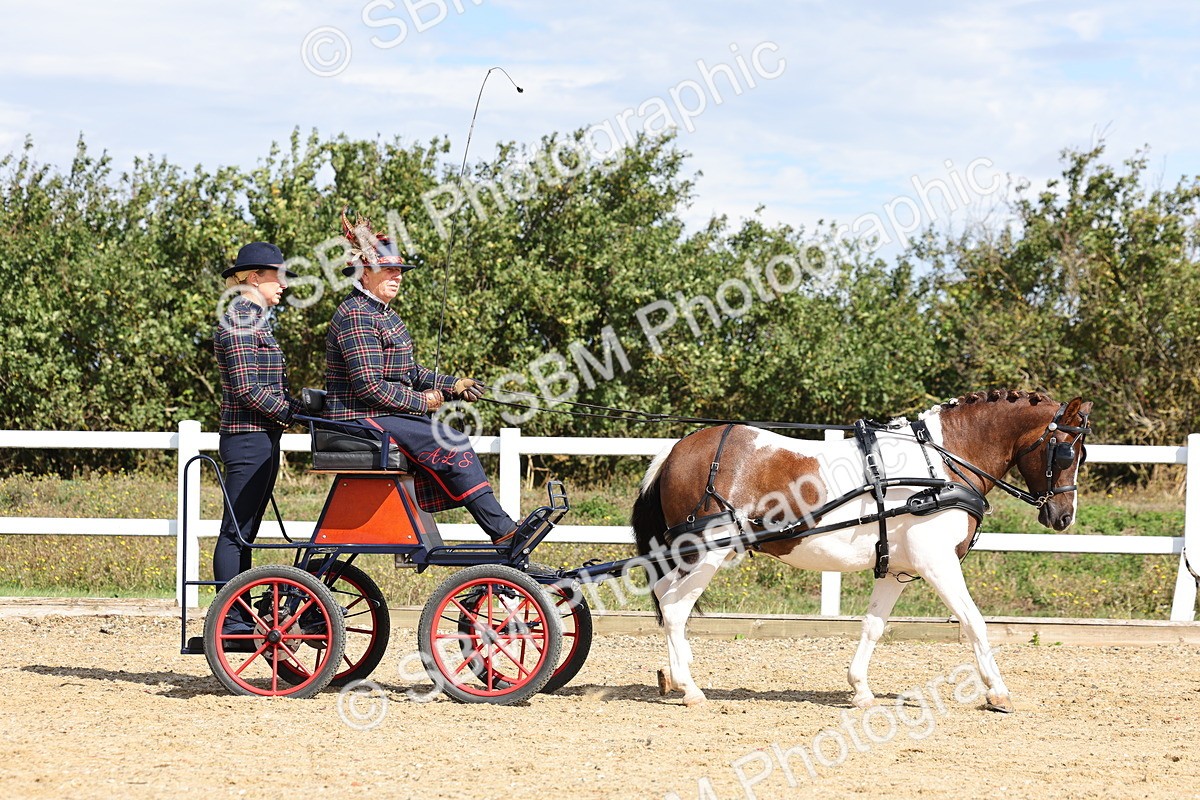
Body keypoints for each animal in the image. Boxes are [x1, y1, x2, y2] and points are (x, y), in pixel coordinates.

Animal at [630, 390, 1092, 712]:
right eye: (1066, 453)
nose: (1063, 516)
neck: (941, 465)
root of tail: (676, 449)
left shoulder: (896, 571)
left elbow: (873, 627)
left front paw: (861, 689)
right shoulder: (938, 564)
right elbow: (975, 623)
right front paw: (998, 693)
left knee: (669, 602)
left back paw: (673, 675)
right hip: (707, 552)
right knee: (675, 609)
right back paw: (690, 689)